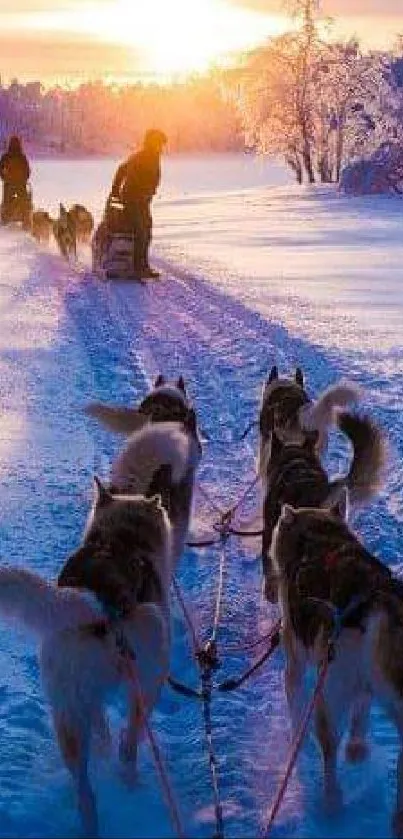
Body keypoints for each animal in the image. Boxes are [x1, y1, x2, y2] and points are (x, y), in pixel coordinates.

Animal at [0, 424, 202, 836]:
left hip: (68, 709)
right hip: (146, 679)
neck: (120, 537)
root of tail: (96, 602)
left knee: (84, 783)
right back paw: (130, 785)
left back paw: (92, 818)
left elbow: (103, 731)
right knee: (129, 745)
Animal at [274, 498, 403, 832]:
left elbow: (295, 705)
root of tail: (373, 605)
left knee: (329, 747)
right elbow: (361, 714)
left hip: (329, 692)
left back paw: (332, 802)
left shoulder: (296, 662)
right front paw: (357, 749)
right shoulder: (364, 688)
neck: (321, 538)